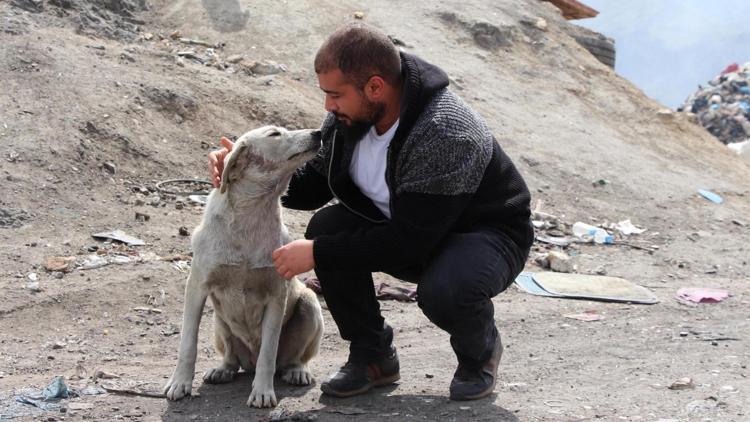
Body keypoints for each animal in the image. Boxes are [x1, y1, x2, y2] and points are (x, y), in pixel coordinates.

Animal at [166, 126, 324, 408]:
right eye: (275, 134)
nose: (318, 132)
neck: (249, 216)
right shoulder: (196, 287)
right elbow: (188, 343)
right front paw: (180, 383)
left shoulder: (277, 295)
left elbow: (268, 354)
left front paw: (262, 391)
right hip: (219, 322)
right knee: (231, 356)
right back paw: (222, 370)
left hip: (309, 303)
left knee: (289, 358)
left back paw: (296, 371)